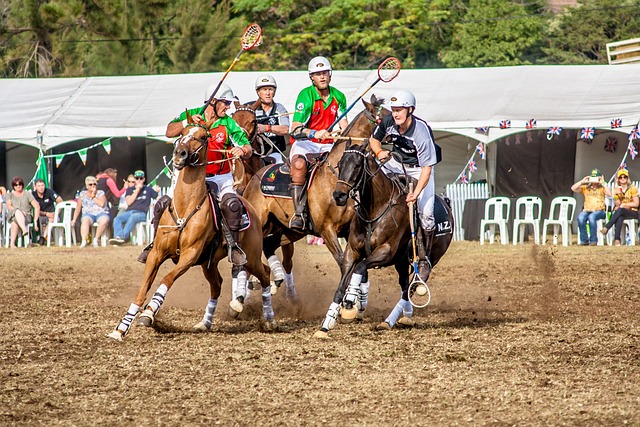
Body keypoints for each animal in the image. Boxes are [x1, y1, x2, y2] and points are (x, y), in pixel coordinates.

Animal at [107, 113, 276, 342]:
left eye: (203, 136)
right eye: (183, 132)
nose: (180, 154)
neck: (186, 205)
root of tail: (249, 205)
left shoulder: (189, 255)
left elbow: (167, 278)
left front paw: (149, 313)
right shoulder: (157, 253)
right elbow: (142, 289)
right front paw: (121, 329)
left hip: (250, 255)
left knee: (264, 273)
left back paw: (269, 319)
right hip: (209, 263)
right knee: (217, 285)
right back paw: (205, 323)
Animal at [241, 95, 388, 304]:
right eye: (385, 116)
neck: (336, 178)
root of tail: (255, 178)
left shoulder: (350, 231)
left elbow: (357, 267)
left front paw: (359, 299)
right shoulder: (326, 230)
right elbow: (343, 262)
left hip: (286, 229)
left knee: (269, 246)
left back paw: (275, 281)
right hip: (260, 223)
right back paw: (239, 300)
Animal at [320, 140, 456, 338]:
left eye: (357, 165)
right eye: (340, 165)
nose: (339, 196)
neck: (374, 210)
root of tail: (447, 202)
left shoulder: (386, 252)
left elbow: (360, 267)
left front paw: (351, 298)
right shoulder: (351, 252)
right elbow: (341, 285)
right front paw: (326, 324)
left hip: (431, 256)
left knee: (412, 286)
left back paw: (389, 321)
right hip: (402, 261)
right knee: (405, 285)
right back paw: (405, 316)